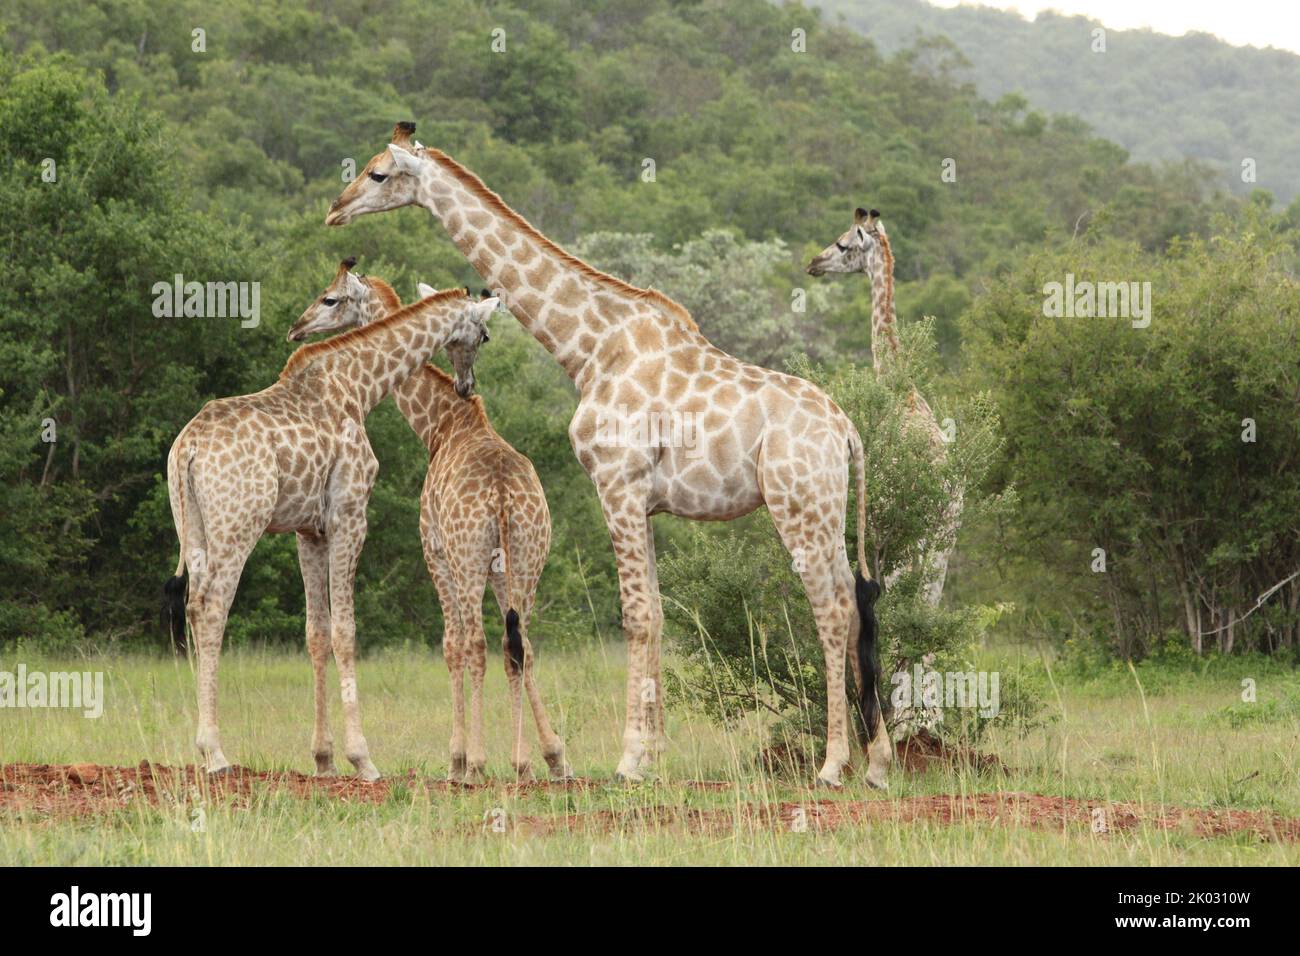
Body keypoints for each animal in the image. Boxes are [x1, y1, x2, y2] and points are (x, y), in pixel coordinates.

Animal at [161, 278, 498, 779]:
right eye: (484, 335)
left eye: (329, 298)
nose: (465, 384)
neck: (358, 385)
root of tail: (189, 448)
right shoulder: (349, 514)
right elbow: (346, 631)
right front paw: (363, 759)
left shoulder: (309, 530)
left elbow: (316, 633)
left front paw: (323, 759)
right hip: (238, 525)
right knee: (211, 608)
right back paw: (215, 753)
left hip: (196, 528)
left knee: (192, 606)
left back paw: (204, 751)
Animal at [287, 261, 572, 783]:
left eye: (330, 298)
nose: (298, 327)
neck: (443, 425)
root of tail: (503, 497)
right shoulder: (500, 569)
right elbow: (516, 651)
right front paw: (546, 756)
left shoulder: (434, 551)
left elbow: (451, 645)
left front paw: (458, 759)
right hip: (528, 559)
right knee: (520, 643)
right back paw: (528, 761)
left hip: (466, 560)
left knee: (476, 643)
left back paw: (477, 763)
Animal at [323, 123, 891, 788]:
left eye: (378, 173)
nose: (335, 210)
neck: (589, 347)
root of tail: (846, 430)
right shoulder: (644, 502)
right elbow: (659, 615)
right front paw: (657, 756)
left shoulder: (616, 484)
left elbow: (636, 616)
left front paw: (628, 761)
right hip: (827, 509)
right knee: (855, 602)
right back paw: (878, 762)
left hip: (797, 505)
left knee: (830, 607)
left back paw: (833, 764)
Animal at [806, 208, 963, 609]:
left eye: (842, 243)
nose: (813, 263)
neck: (899, 386)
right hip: (945, 536)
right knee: (930, 602)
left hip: (911, 533)